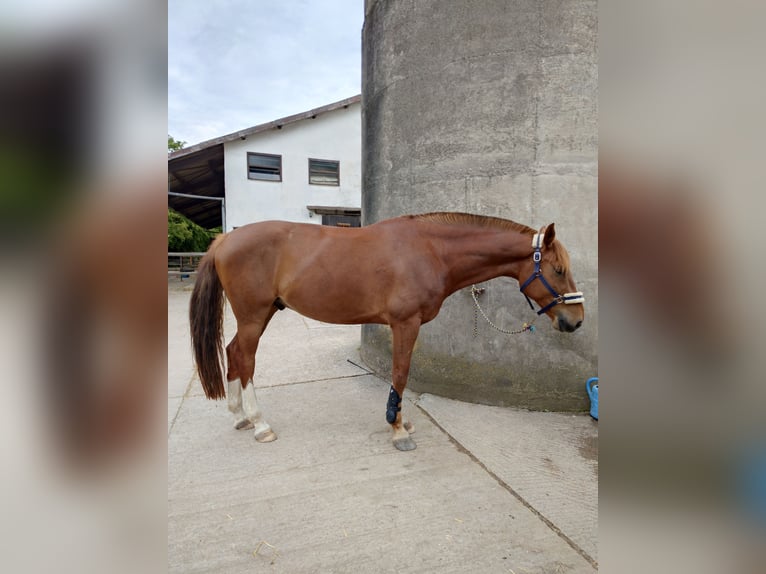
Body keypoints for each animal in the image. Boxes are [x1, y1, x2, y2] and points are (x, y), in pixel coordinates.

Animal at [189, 212, 585, 451]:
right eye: (559, 270)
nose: (576, 320)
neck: (430, 251)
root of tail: (224, 240)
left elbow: (401, 375)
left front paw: (402, 421)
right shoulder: (404, 323)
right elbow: (400, 373)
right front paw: (397, 429)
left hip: (264, 312)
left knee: (232, 351)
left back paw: (239, 416)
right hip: (253, 315)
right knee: (245, 358)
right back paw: (259, 424)